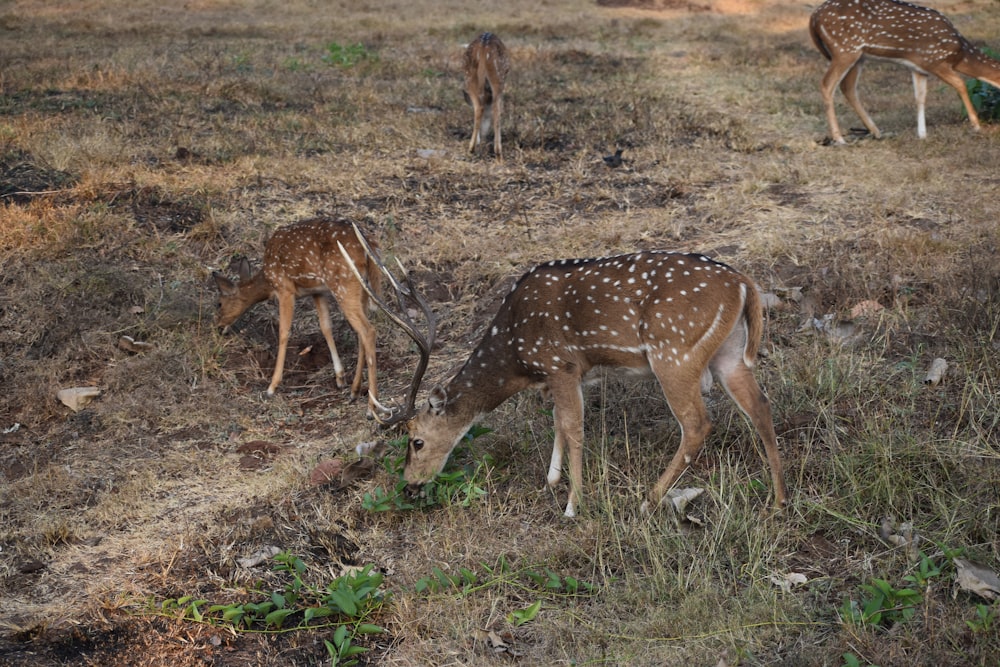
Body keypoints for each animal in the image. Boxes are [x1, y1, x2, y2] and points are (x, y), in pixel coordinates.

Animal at [213, 219, 380, 412]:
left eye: (219, 303)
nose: (218, 327)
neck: (268, 282)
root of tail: (371, 246)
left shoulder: (285, 288)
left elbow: (284, 332)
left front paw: (272, 387)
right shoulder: (317, 292)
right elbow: (325, 327)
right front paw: (340, 377)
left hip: (344, 284)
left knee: (368, 331)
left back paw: (371, 407)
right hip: (361, 289)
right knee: (361, 333)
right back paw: (354, 390)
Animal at [808, 0, 1000, 144]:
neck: (961, 55)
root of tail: (814, 17)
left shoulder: (919, 68)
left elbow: (920, 97)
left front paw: (922, 134)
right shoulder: (934, 60)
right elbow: (961, 84)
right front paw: (976, 125)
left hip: (858, 56)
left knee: (847, 87)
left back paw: (876, 132)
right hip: (845, 49)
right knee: (827, 84)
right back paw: (839, 139)